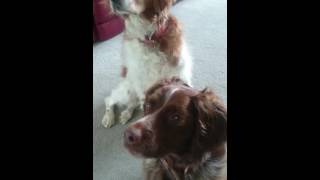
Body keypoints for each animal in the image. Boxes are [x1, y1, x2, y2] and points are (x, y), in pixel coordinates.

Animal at [102, 0, 192, 128]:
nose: (113, 1)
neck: (150, 39)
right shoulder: (142, 86)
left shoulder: (180, 76)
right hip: (127, 90)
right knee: (109, 100)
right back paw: (108, 117)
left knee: (131, 104)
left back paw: (126, 114)